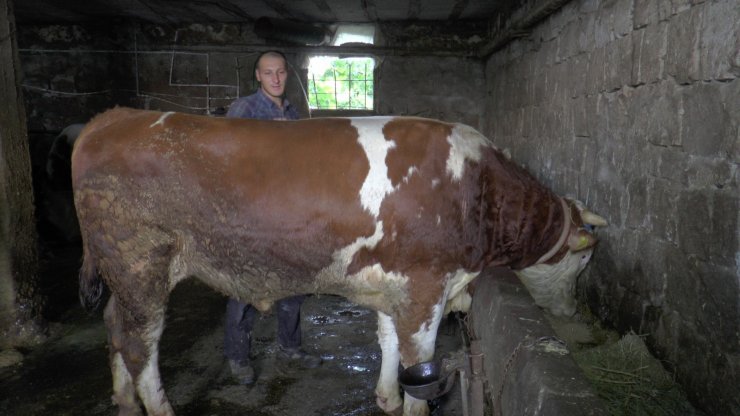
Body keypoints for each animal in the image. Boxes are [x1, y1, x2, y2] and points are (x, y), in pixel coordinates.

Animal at [71, 108, 608, 416]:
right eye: (582, 261)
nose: (569, 314)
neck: (475, 189)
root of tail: (114, 116)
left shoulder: (397, 282)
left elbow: (389, 343)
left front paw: (386, 397)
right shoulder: (426, 284)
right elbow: (419, 361)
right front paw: (408, 403)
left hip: (123, 270)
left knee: (115, 325)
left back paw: (124, 401)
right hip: (140, 261)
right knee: (140, 342)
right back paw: (156, 407)